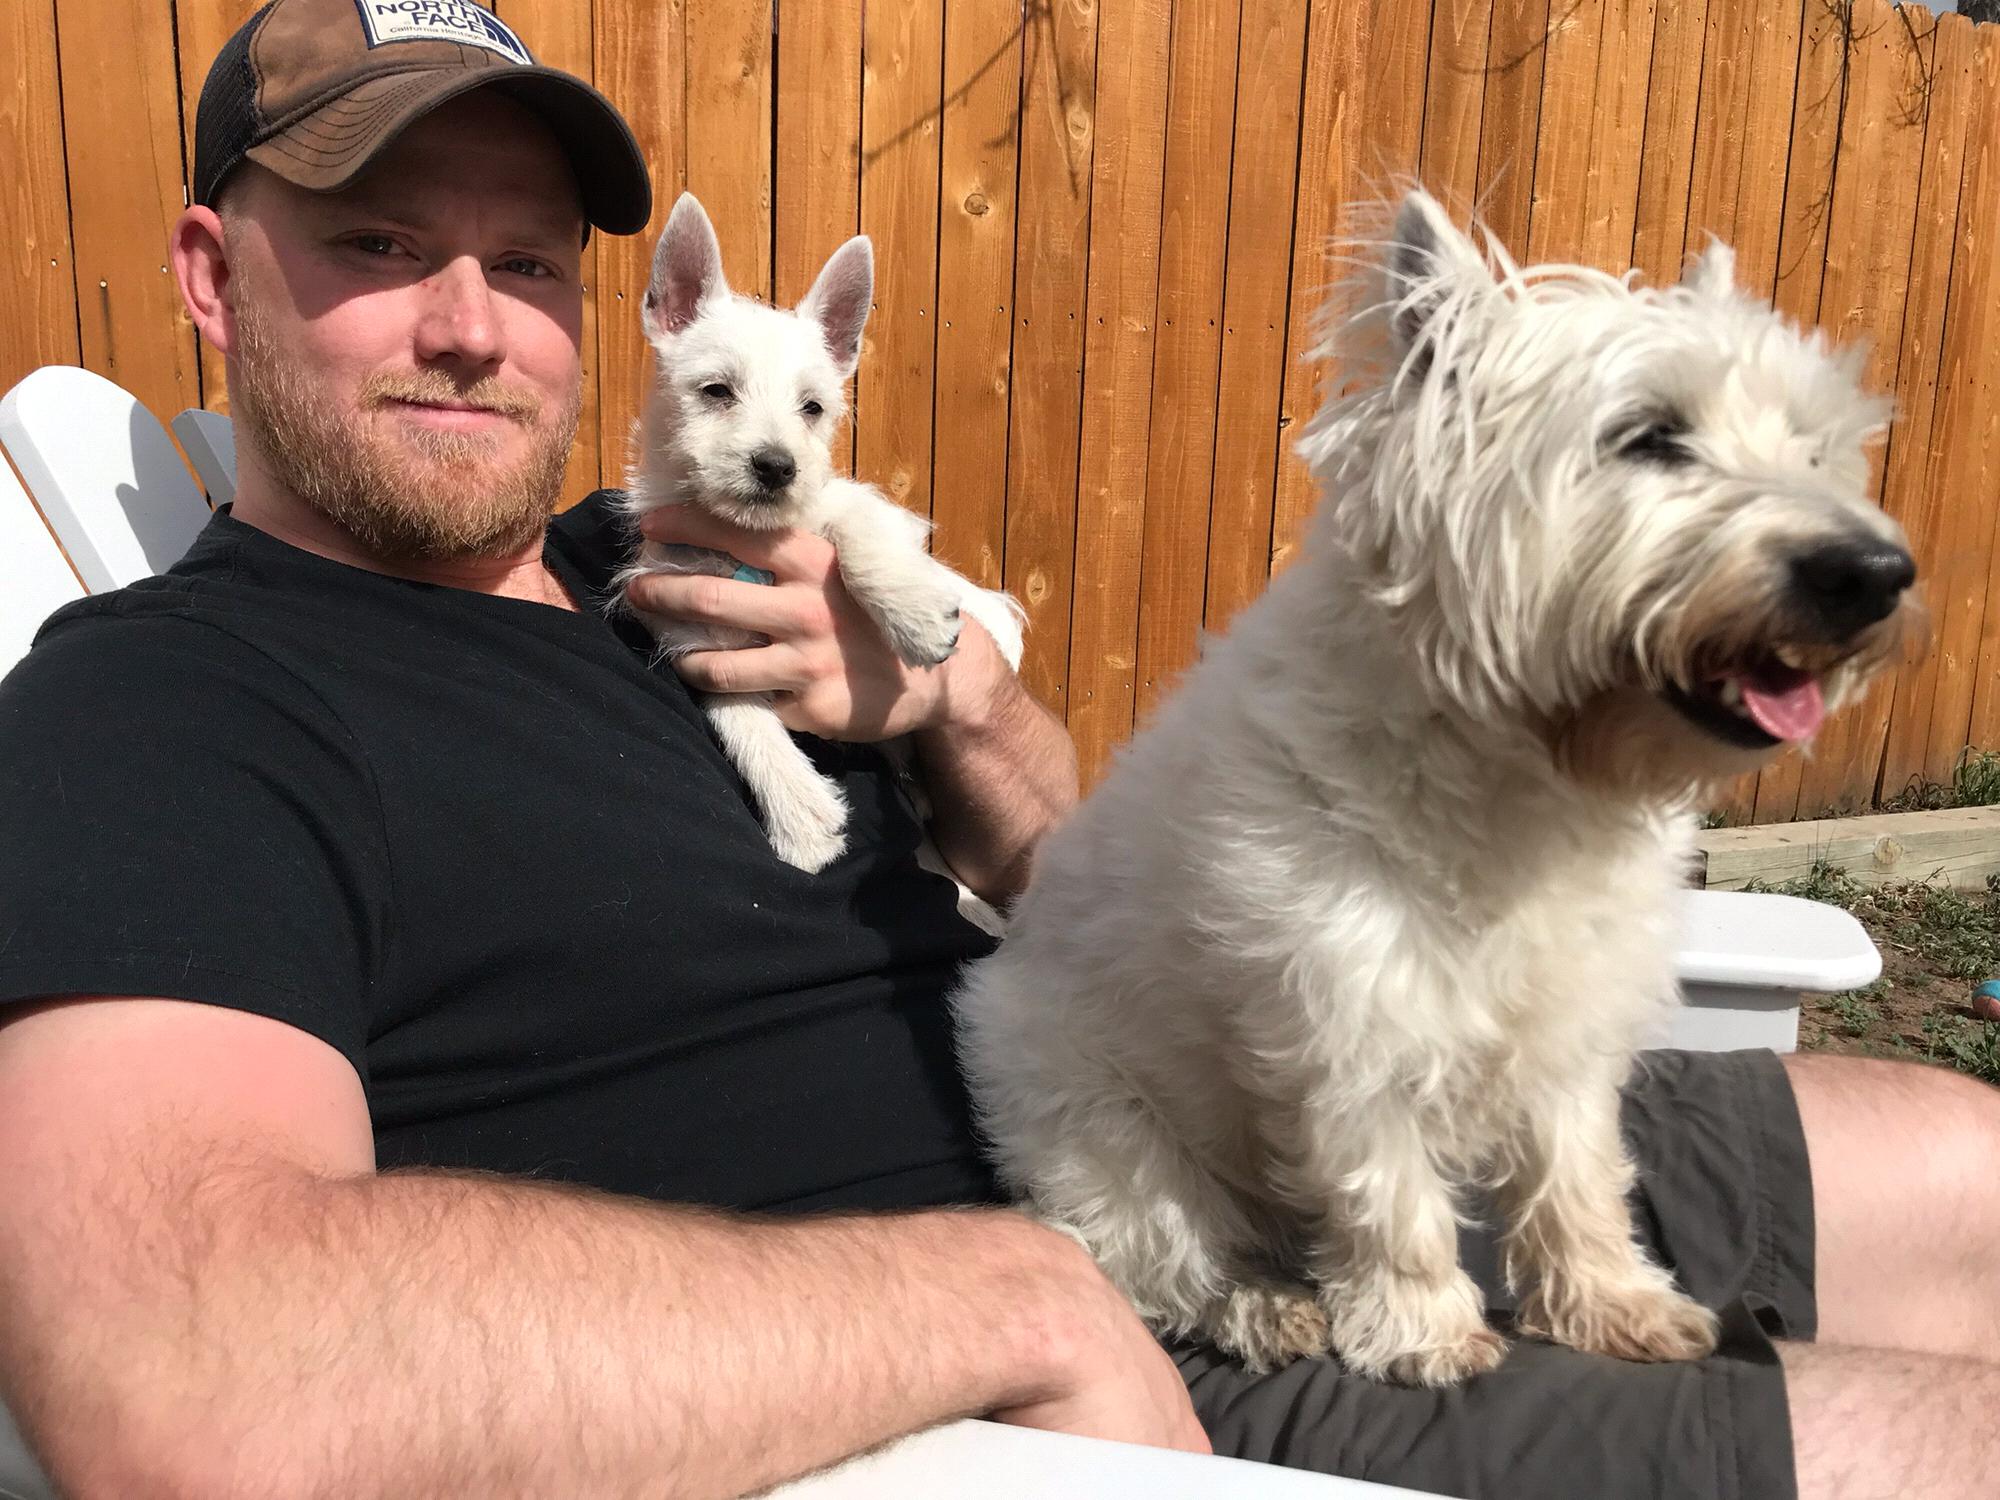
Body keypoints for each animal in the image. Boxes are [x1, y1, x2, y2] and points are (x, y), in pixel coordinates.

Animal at [619, 194, 1022, 873]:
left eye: (812, 408)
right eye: (716, 391)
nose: (777, 466)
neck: (742, 541)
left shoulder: (848, 504)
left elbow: (860, 531)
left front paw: (915, 617)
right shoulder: (696, 639)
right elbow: (741, 714)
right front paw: (802, 819)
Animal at [952, 189, 1918, 1386]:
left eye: (1814, 447)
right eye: (1648, 435)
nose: (1873, 575)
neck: (1531, 778)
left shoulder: (1569, 1025)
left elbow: (1576, 1176)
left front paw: (1611, 1305)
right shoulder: (1344, 1019)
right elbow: (1388, 1197)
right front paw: (1424, 1334)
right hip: (1106, 1131)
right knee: (1152, 1259)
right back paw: (1266, 1307)